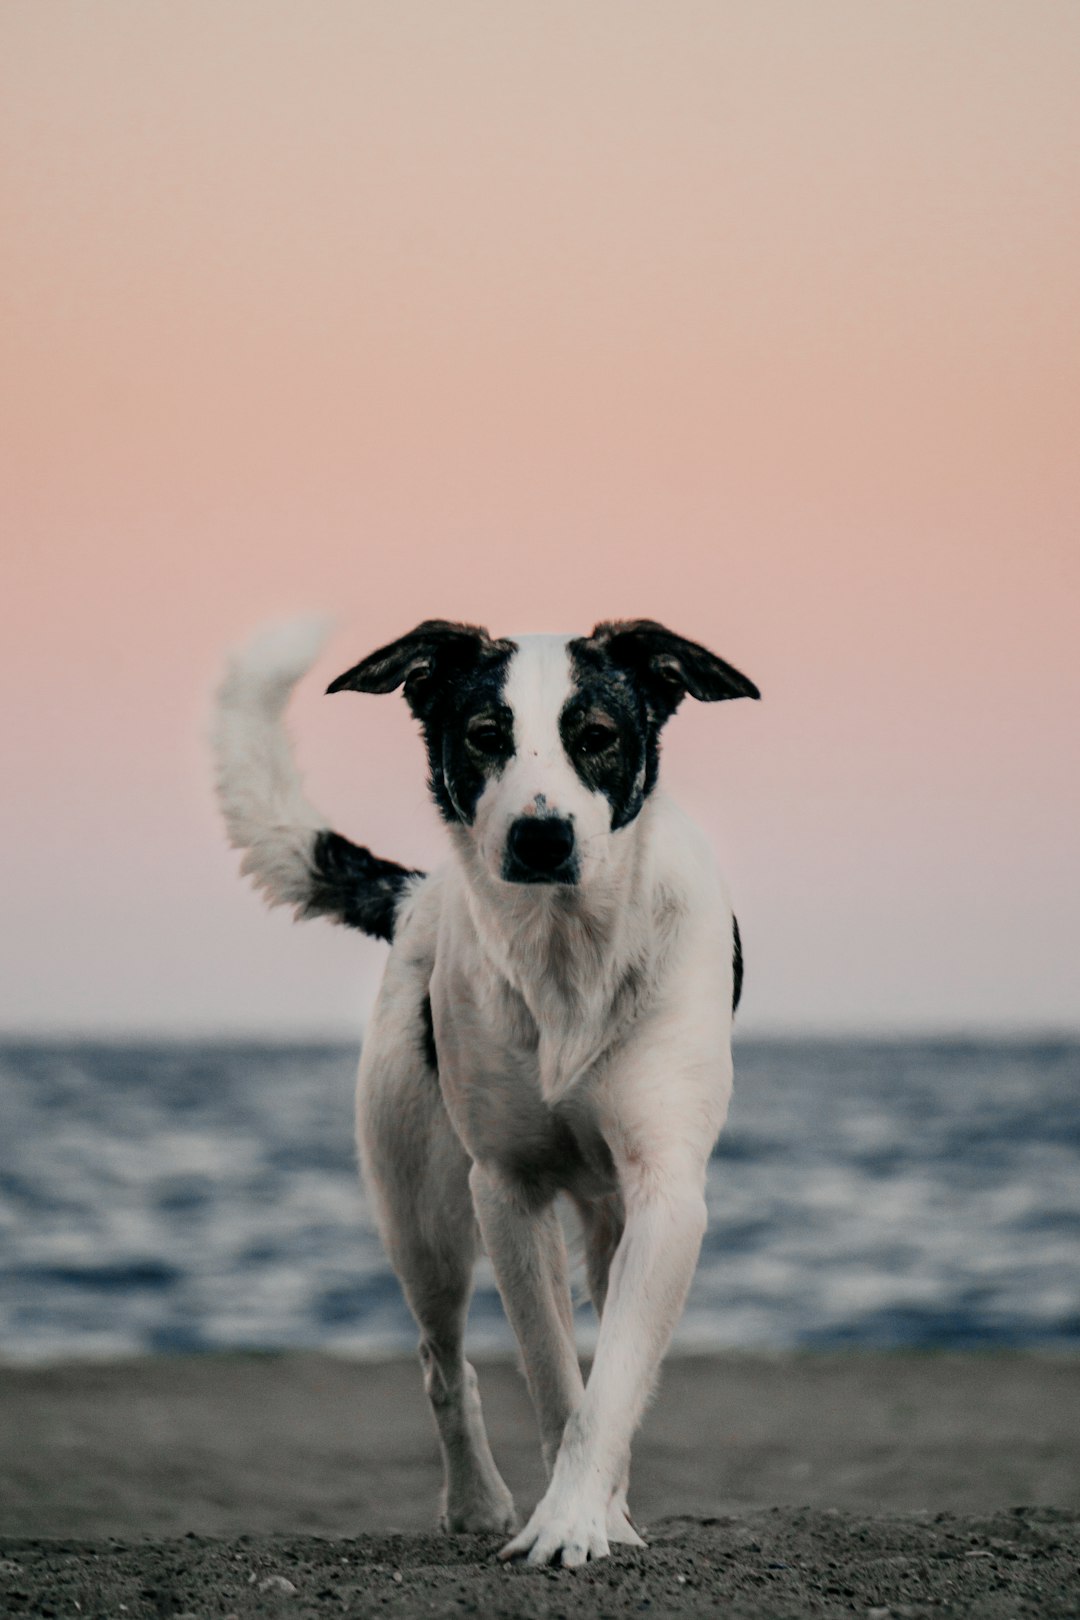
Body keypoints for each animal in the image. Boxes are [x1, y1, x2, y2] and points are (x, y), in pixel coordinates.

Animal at [210, 612, 761, 1561]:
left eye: (597, 736)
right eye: (482, 734)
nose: (542, 840)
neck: (567, 954)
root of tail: (416, 897)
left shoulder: (665, 1191)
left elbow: (611, 1386)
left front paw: (579, 1519)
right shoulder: (506, 1189)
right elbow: (552, 1377)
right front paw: (559, 1515)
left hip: (606, 1221)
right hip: (420, 1215)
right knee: (442, 1361)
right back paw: (475, 1501)